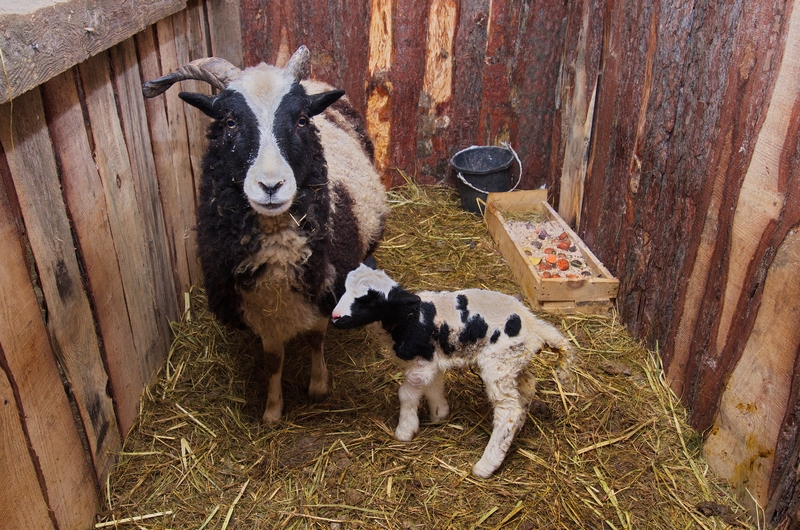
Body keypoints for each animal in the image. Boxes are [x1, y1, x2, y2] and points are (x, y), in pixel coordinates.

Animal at [146, 47, 390, 422]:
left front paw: (318, 387)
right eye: (229, 122)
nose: (271, 186)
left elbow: (316, 339)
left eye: (302, 119)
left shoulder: (323, 289)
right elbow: (273, 360)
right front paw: (273, 410)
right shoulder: (259, 312)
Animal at [332, 262, 576, 476]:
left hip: (497, 365)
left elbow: (406, 395)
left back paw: (487, 465)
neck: (410, 317)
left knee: (508, 410)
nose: (335, 317)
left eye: (370, 302)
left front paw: (405, 430)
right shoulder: (431, 361)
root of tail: (535, 326)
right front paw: (439, 413)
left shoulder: (420, 365)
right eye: (344, 289)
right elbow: (434, 386)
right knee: (526, 388)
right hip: (513, 362)